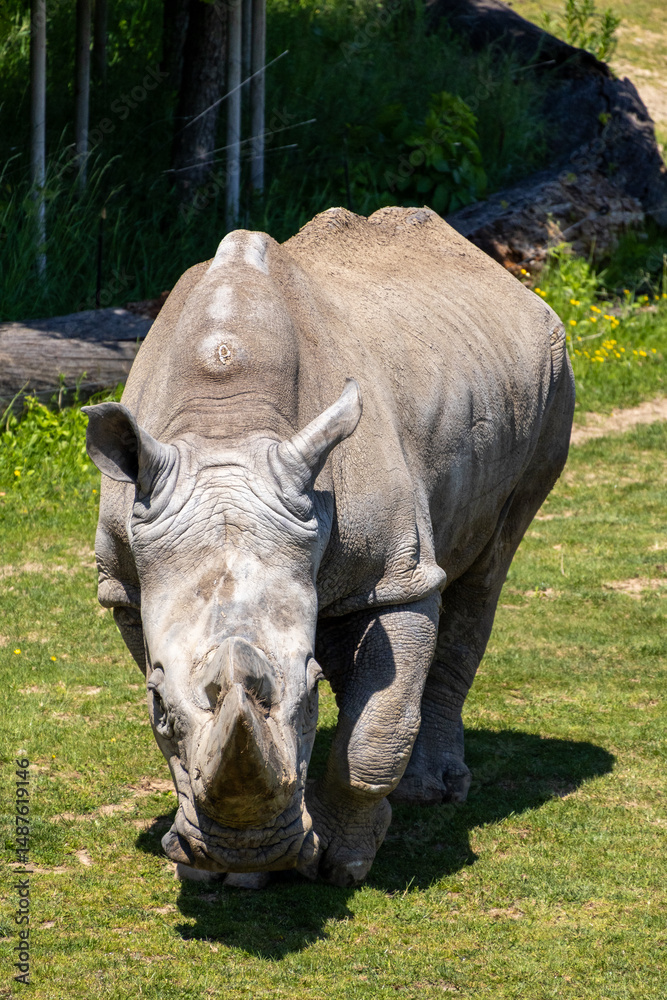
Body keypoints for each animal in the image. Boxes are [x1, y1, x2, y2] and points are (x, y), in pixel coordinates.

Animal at [83, 207, 574, 887]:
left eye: (311, 692)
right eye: (156, 706)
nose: (249, 849)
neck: (225, 430)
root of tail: (495, 268)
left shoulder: (395, 575)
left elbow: (374, 734)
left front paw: (342, 862)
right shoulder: (128, 585)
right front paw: (221, 875)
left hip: (552, 374)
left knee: (484, 573)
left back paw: (432, 792)